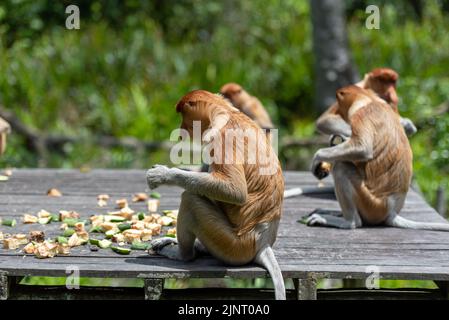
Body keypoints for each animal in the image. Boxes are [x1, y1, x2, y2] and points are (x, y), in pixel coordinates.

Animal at [147, 89, 288, 298]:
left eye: (182, 115)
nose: (182, 129)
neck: (226, 111)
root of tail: (264, 242)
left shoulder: (223, 137)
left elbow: (235, 191)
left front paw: (162, 174)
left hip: (232, 245)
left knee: (190, 199)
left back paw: (181, 254)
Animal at [302, 85, 448, 230]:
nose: (336, 112)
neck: (369, 99)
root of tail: (392, 213)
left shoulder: (361, 114)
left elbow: (362, 148)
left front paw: (317, 159)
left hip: (372, 205)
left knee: (341, 168)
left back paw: (346, 222)